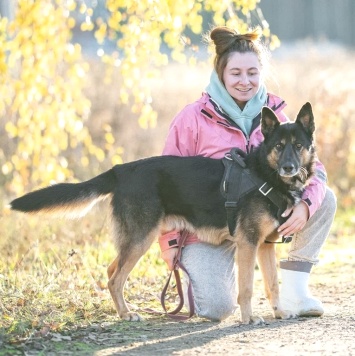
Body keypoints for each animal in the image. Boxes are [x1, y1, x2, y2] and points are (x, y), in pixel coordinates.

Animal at [9, 102, 318, 326]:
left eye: (298, 146)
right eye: (279, 146)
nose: (289, 167)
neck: (266, 175)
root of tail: (120, 170)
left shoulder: (264, 245)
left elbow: (273, 284)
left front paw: (279, 312)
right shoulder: (248, 244)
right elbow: (247, 288)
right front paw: (248, 318)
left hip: (134, 239)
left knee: (111, 270)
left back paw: (123, 310)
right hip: (141, 237)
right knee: (114, 278)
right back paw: (126, 314)